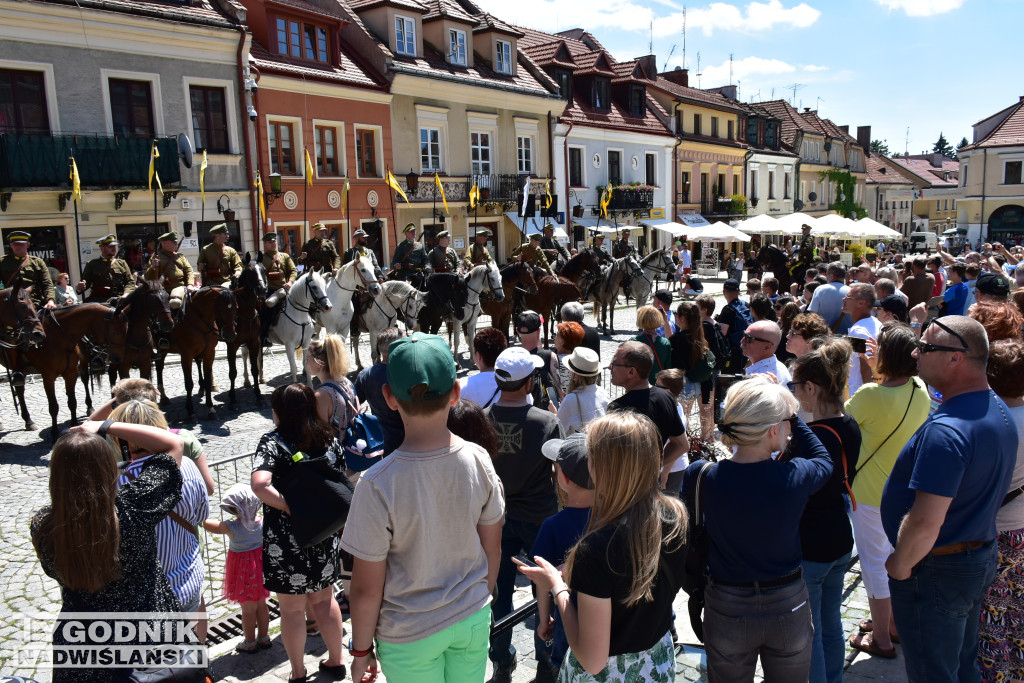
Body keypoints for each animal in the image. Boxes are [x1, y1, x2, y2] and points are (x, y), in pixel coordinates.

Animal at [2, 303, 128, 438]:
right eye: (117, 332)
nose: (119, 358)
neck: (57, 336)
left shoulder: (71, 372)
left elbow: (72, 401)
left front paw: (74, 424)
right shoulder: (48, 376)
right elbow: (53, 406)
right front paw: (54, 432)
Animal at [154, 284, 238, 421]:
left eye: (236, 307)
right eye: (222, 308)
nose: (230, 335)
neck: (200, 320)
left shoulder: (210, 352)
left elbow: (208, 380)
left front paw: (210, 408)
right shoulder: (186, 355)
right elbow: (188, 383)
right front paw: (190, 411)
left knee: (197, 362)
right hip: (161, 348)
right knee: (159, 367)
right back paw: (163, 396)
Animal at [227, 253, 268, 409]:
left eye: (264, 269)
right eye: (250, 271)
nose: (262, 289)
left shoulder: (254, 342)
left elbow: (254, 368)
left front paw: (258, 394)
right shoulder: (232, 345)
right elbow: (232, 372)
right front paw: (232, 398)